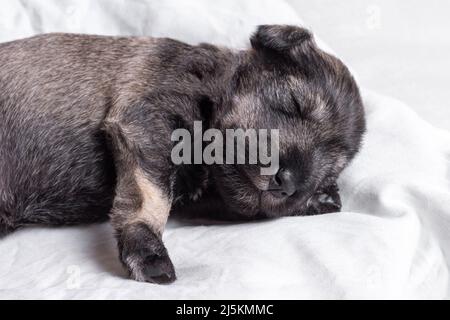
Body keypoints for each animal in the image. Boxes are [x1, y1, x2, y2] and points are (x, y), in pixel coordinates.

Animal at [0, 26, 366, 284]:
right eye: (294, 103)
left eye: (329, 171)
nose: (288, 183)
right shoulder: (147, 120)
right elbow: (152, 195)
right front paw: (147, 251)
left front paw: (319, 199)